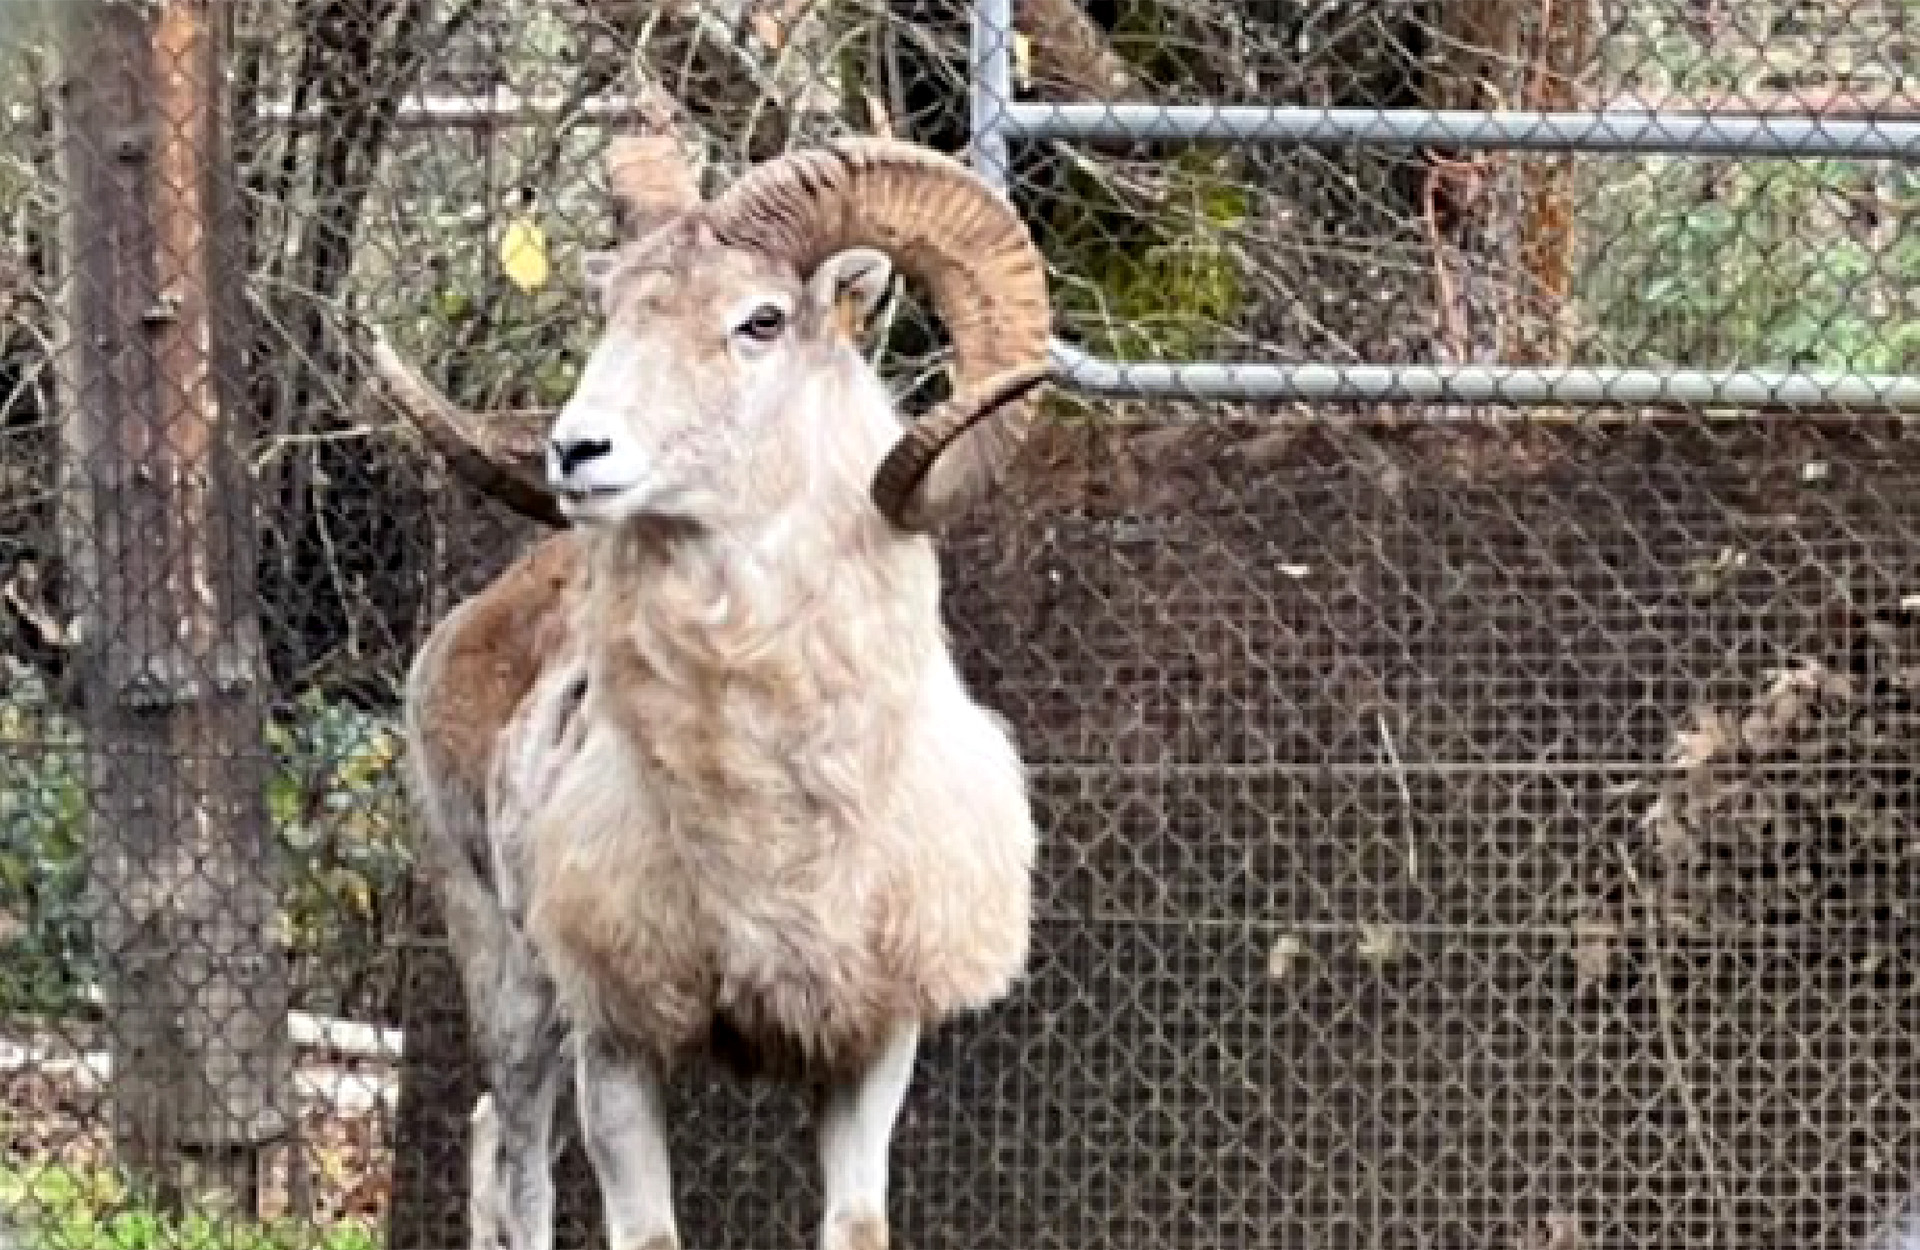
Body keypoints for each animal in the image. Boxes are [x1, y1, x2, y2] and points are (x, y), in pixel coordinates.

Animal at [372, 134, 1052, 1250]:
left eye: (761, 320)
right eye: (612, 312)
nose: (576, 452)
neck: (778, 827)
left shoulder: (871, 1046)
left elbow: (854, 1222)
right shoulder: (618, 1040)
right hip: (511, 988)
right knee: (517, 1173)